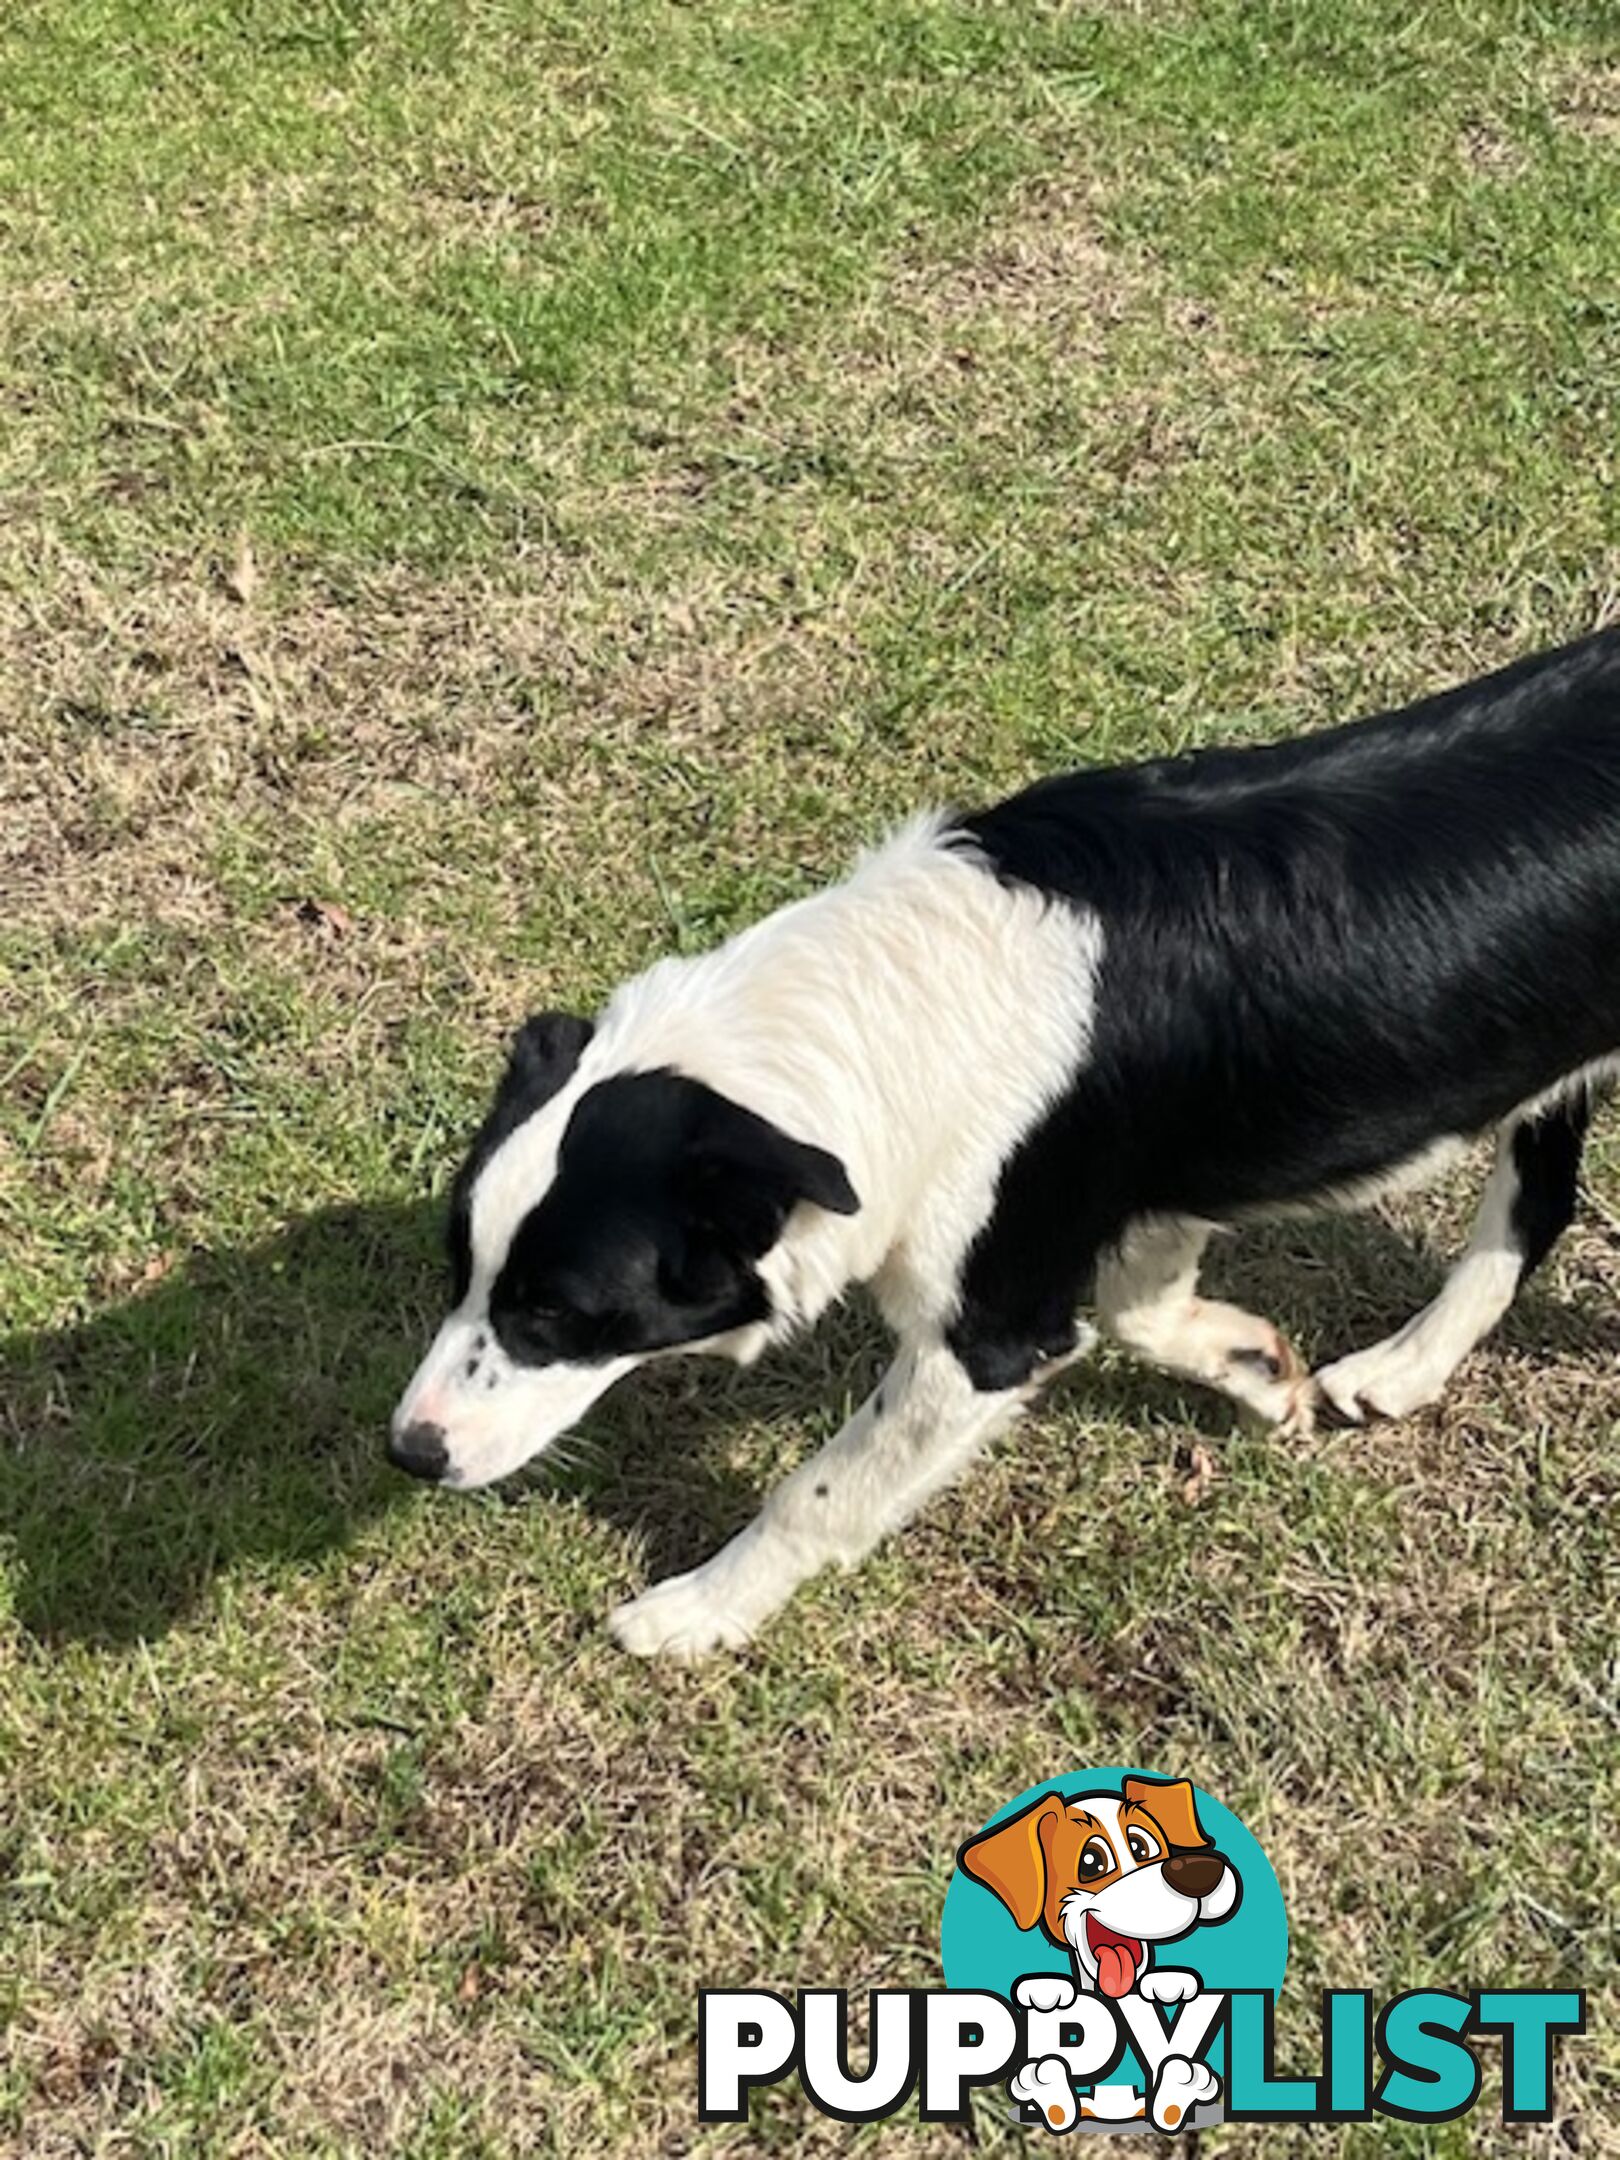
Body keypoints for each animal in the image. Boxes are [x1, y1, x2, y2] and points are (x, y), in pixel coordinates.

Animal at [393, 630, 1620, 1658]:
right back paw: (1407, 1367)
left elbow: (815, 1492)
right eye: (459, 1275)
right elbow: (1143, 1310)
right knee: (1536, 1206)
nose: (409, 1451)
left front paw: (697, 1610)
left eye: (559, 1314)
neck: (884, 1007)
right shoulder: (1117, 1206)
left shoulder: (987, 1334)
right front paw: (1255, 1368)